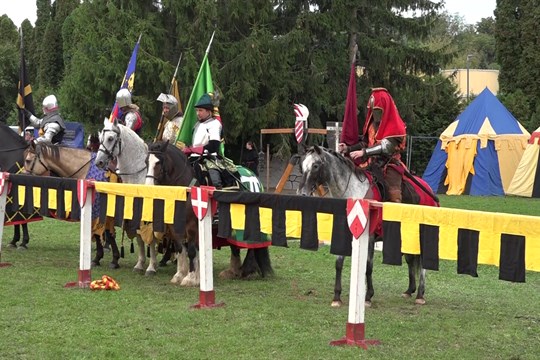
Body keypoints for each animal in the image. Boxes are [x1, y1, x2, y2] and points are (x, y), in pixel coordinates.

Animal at [146, 141, 274, 286]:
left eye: (159, 162)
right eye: (146, 162)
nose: (148, 187)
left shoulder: (192, 226)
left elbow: (191, 251)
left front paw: (190, 278)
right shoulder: (175, 226)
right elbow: (180, 249)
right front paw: (180, 275)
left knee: (250, 244)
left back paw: (248, 271)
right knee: (234, 246)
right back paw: (233, 271)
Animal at [296, 146, 438, 306]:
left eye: (315, 166)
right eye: (302, 166)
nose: (302, 193)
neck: (353, 193)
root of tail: (428, 188)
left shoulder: (369, 237)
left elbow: (368, 267)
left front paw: (368, 297)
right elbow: (338, 263)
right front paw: (337, 297)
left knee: (423, 262)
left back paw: (420, 294)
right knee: (410, 258)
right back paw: (409, 290)